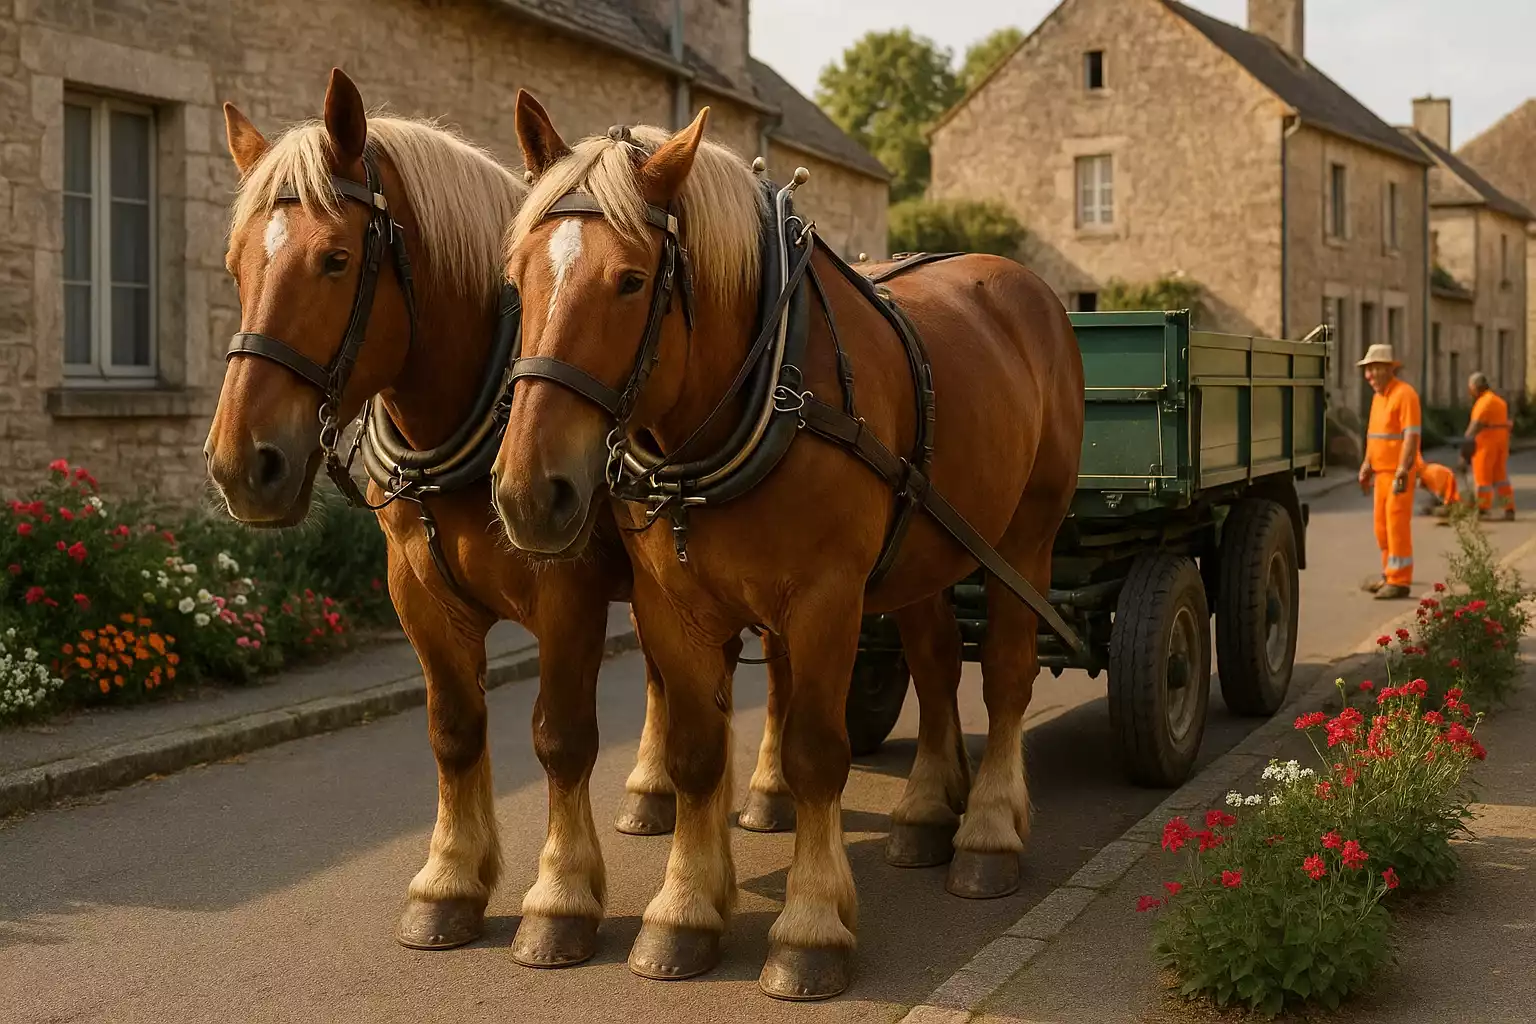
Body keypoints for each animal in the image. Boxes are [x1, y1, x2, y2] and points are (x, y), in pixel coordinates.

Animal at [201, 68, 792, 970]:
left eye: (335, 259)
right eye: (235, 265)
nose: (243, 464)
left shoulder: (568, 597)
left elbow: (561, 737)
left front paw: (560, 897)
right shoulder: (418, 596)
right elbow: (454, 730)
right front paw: (449, 881)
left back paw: (764, 792)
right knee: (678, 678)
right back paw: (656, 794)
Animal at [489, 92, 1085, 1000]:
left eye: (630, 280)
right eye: (517, 277)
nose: (530, 492)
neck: (762, 391)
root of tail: (1030, 290)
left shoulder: (827, 600)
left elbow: (815, 755)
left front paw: (809, 927)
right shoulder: (674, 606)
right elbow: (697, 755)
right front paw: (683, 912)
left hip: (1026, 539)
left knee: (1008, 674)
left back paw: (987, 829)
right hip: (926, 549)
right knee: (937, 667)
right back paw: (925, 809)